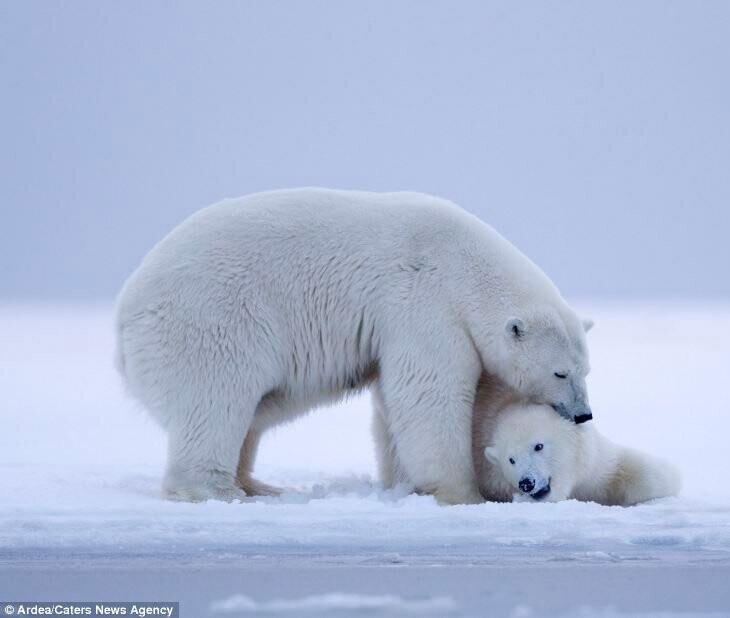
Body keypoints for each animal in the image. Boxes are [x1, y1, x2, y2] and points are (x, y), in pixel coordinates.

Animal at [115, 186, 592, 500]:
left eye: (586, 370)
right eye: (560, 372)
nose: (584, 414)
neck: (463, 263)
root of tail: (124, 316)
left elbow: (392, 406)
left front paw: (402, 483)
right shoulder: (424, 303)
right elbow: (427, 393)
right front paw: (461, 492)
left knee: (248, 413)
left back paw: (256, 484)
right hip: (211, 322)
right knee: (217, 400)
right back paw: (217, 489)